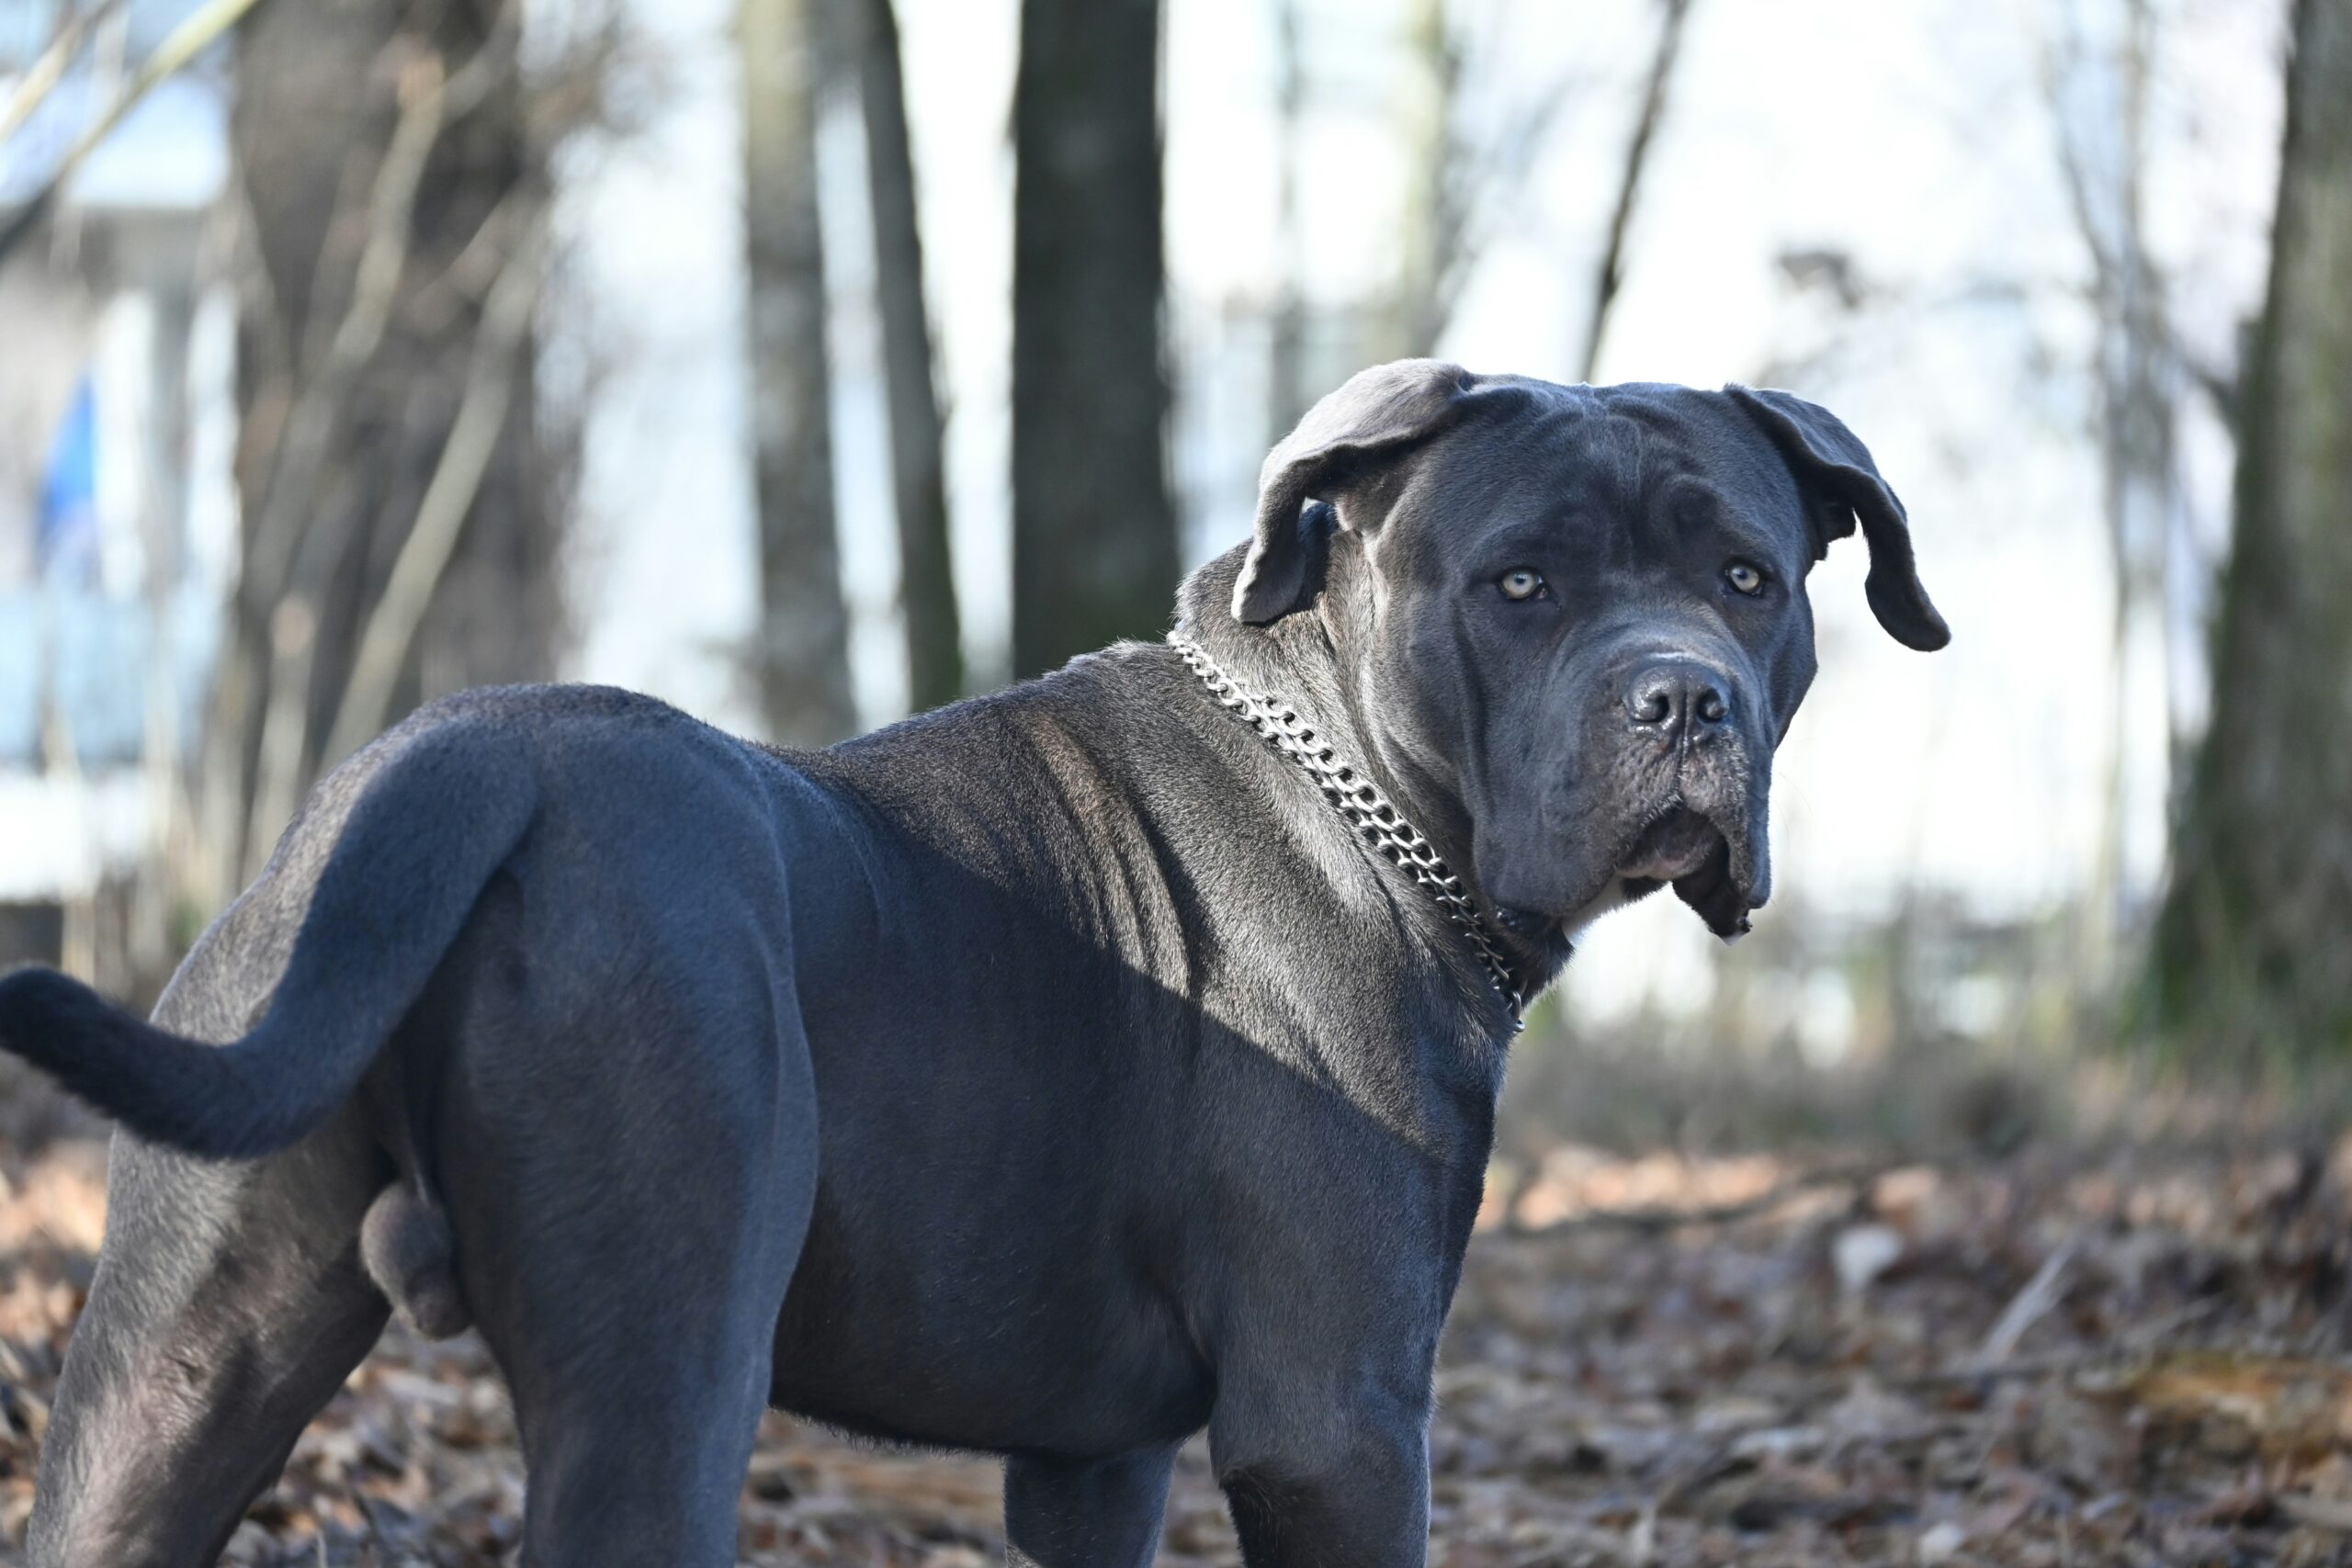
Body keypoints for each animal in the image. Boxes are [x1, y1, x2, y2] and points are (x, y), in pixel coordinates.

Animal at [0, 362, 1947, 1568]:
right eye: (1521, 585)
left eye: (1750, 576)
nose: (1682, 697)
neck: (1357, 779)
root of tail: (464, 759)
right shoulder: (1334, 1417)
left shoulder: (1094, 1460)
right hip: (663, 1377)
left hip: (172, 1366)